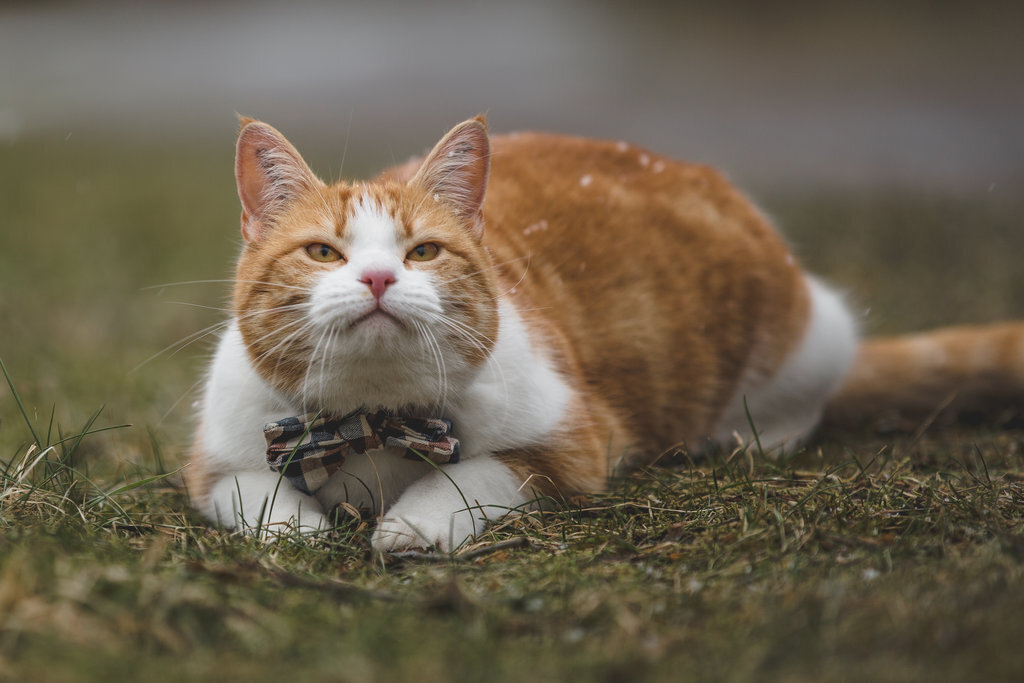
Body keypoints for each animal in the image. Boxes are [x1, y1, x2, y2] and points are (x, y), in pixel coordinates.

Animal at [186, 114, 1024, 552]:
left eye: (422, 251)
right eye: (323, 252)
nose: (379, 279)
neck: (371, 419)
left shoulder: (577, 440)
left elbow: (473, 473)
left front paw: (410, 526)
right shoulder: (211, 462)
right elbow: (257, 495)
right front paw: (300, 529)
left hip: (809, 338)